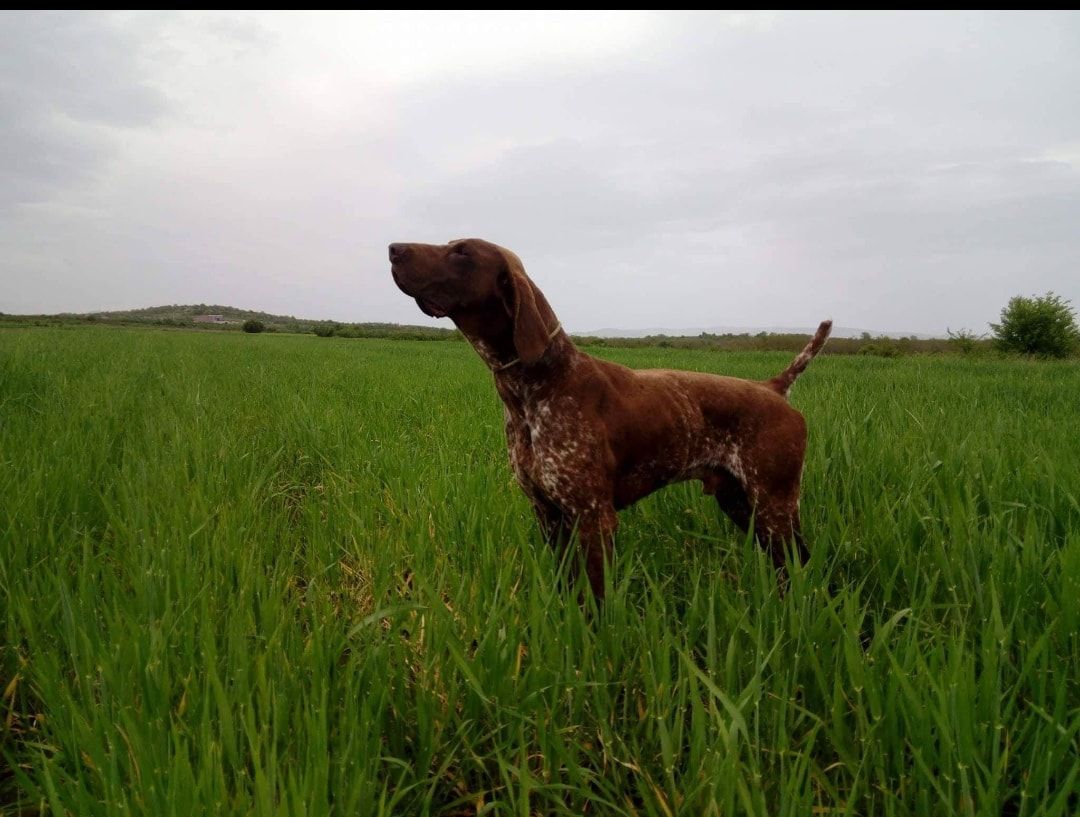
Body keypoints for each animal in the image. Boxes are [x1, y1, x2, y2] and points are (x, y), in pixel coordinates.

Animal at [390, 236, 833, 592]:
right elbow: (567, 589)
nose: (393, 248)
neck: (537, 386)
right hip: (740, 503)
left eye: (462, 252)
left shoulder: (592, 518)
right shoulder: (548, 516)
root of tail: (773, 387)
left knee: (803, 562)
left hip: (774, 504)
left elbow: (597, 601)